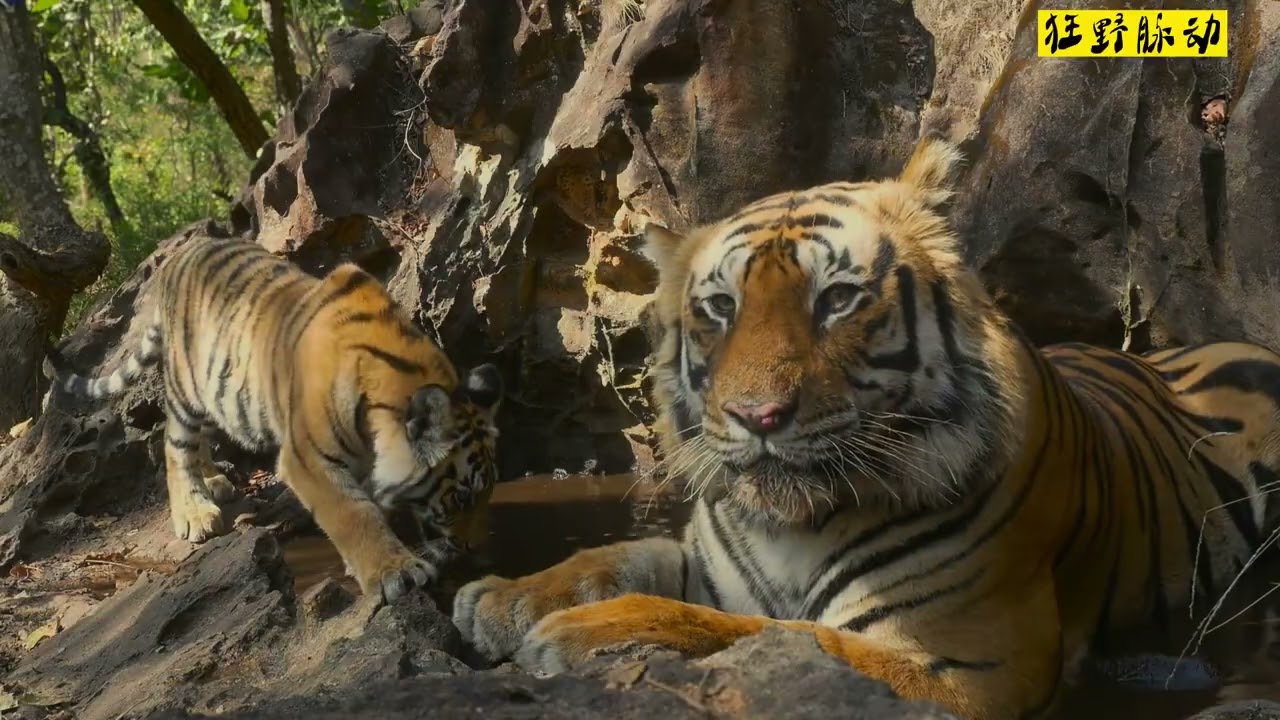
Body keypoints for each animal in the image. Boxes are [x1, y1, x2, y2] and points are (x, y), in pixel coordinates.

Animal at [45, 237, 504, 602]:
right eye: (461, 498)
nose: (477, 550)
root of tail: (175, 255)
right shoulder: (307, 460)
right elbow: (353, 515)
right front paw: (397, 571)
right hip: (185, 386)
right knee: (173, 444)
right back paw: (194, 512)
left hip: (220, 389)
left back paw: (214, 481)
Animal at [449, 131, 1280, 719]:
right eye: (720, 308)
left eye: (838, 299)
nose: (757, 416)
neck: (792, 527)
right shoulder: (711, 562)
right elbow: (619, 555)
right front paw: (500, 598)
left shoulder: (962, 662)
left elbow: (768, 633)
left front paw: (580, 631)